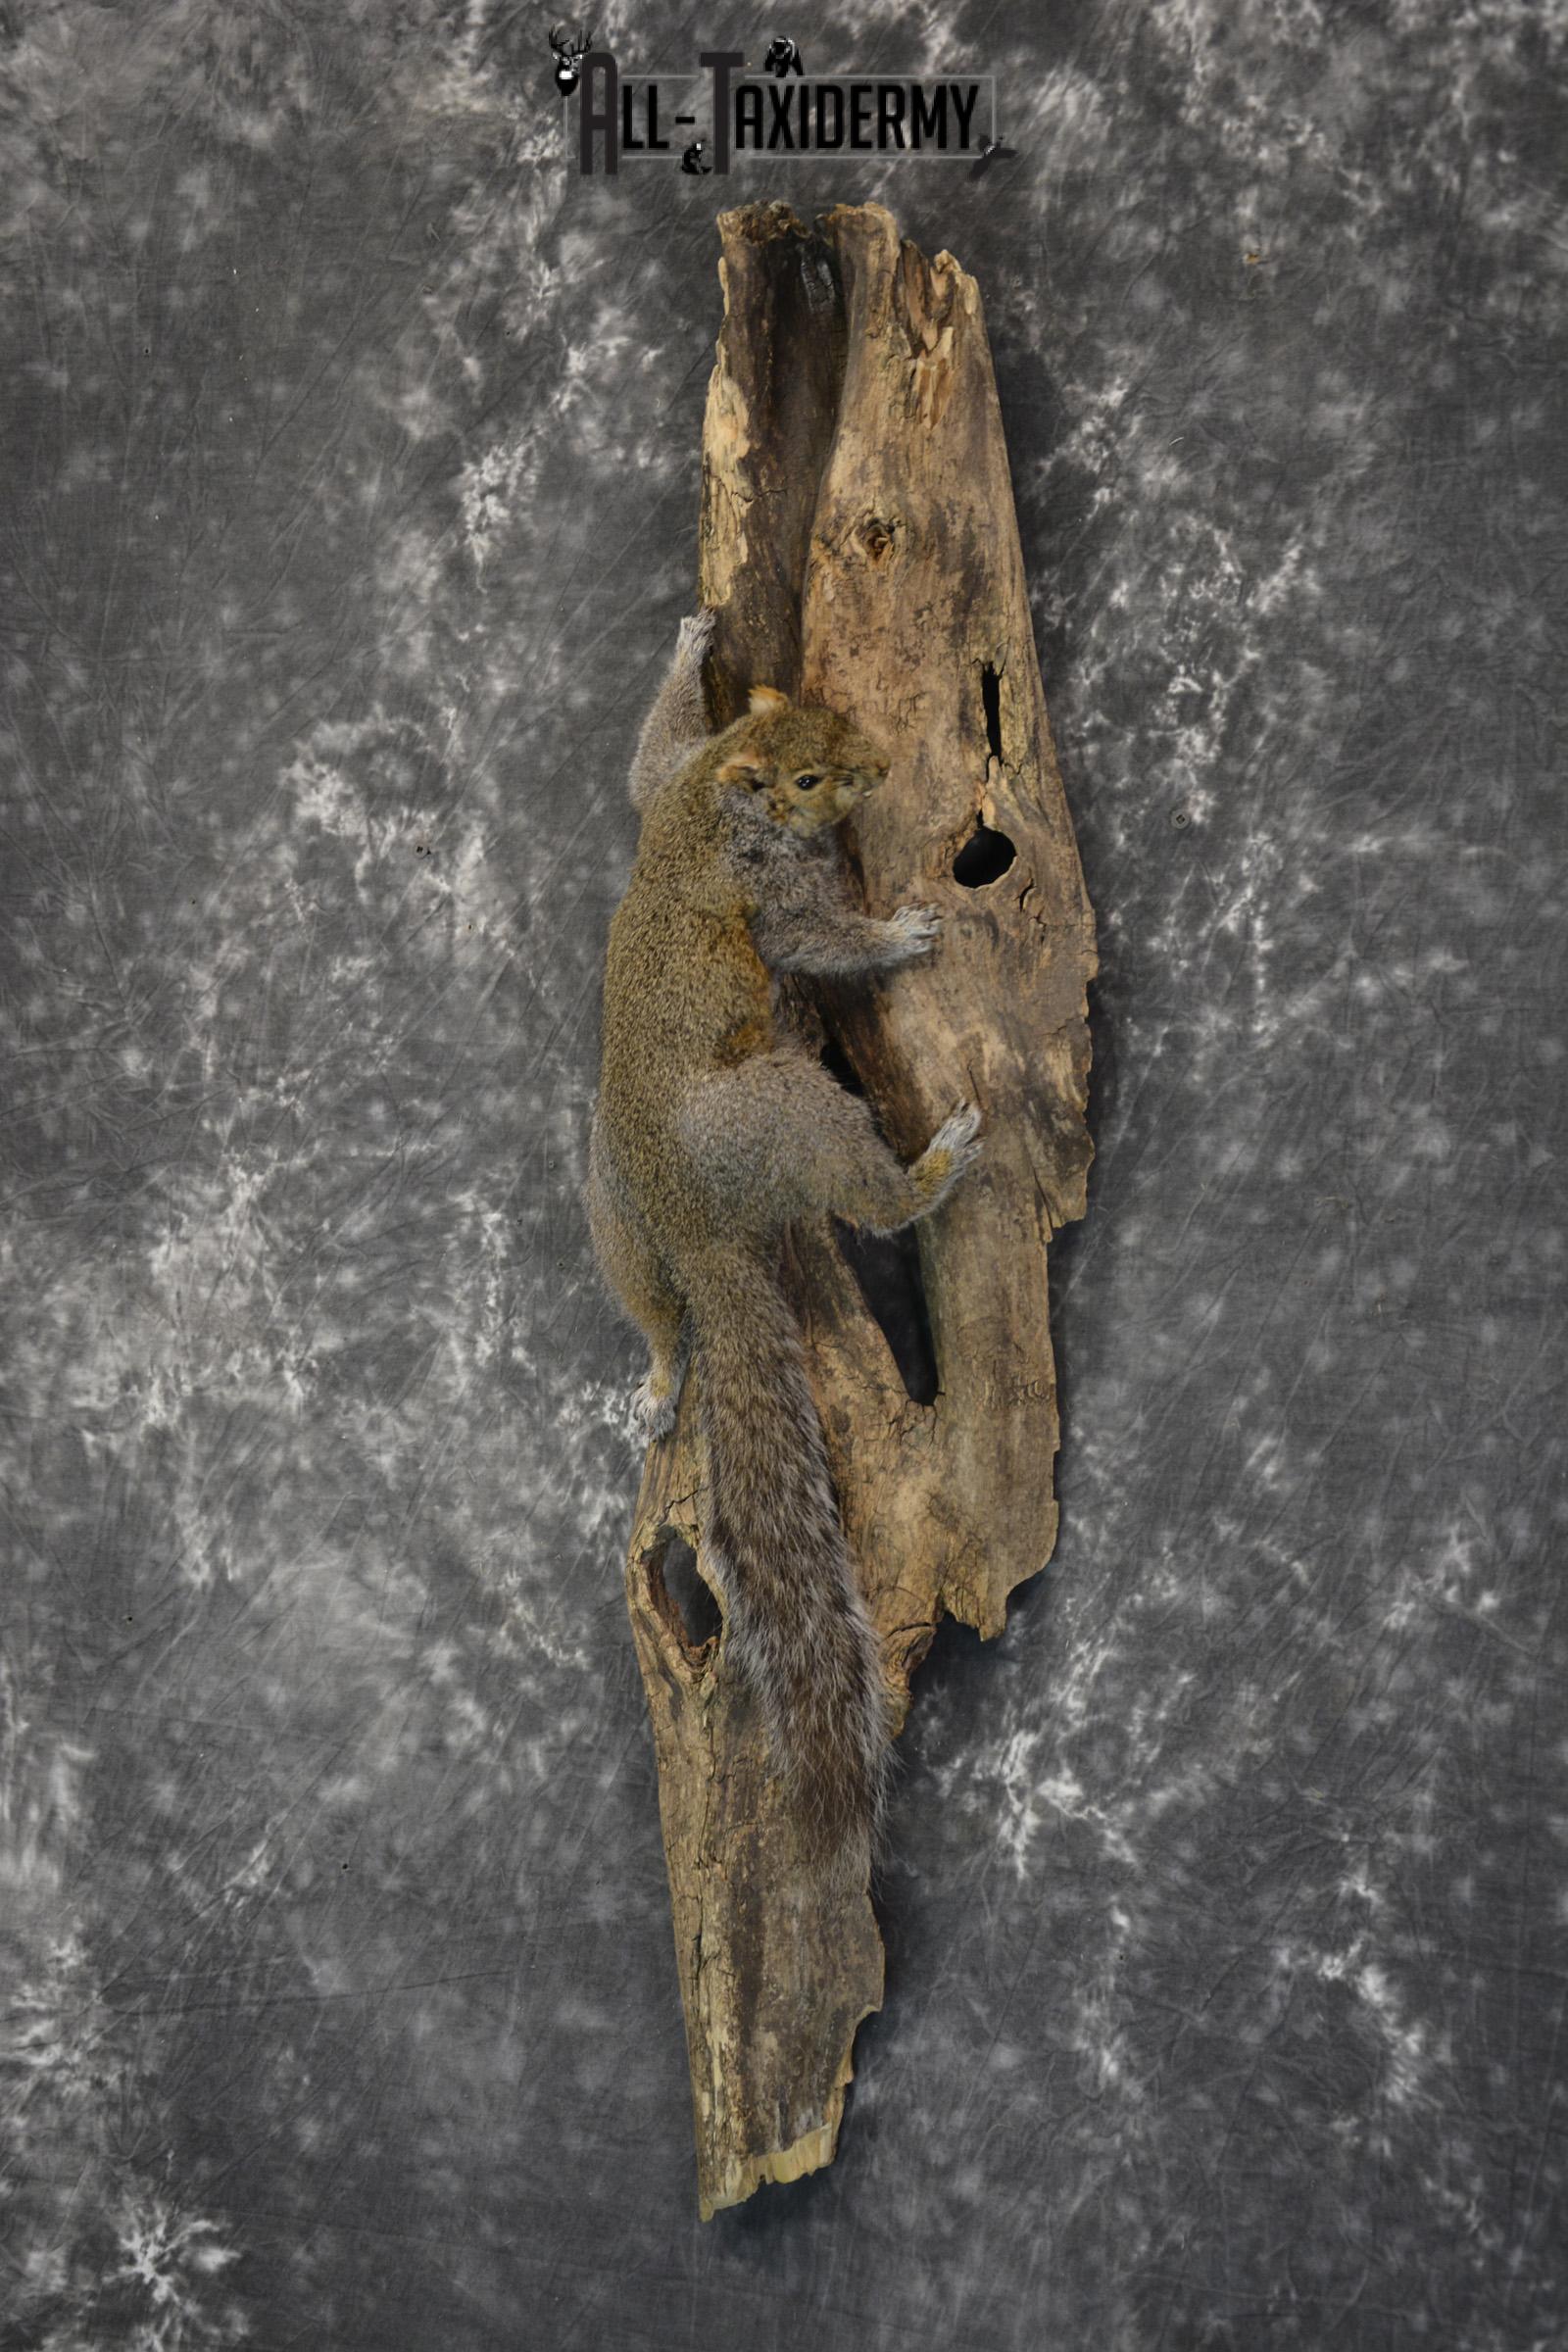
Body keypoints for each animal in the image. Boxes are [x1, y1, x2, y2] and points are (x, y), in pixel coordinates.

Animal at [588, 607, 982, 1875]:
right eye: (810, 778)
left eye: (831, 715)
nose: (877, 765)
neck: (720, 802)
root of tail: (696, 1229)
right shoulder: (773, 896)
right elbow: (816, 941)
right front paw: (899, 933)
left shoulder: (669, 774)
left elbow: (641, 757)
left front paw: (690, 638)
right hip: (782, 1109)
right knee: (872, 1203)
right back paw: (932, 1169)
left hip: (611, 1210)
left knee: (658, 1315)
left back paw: (664, 1368)